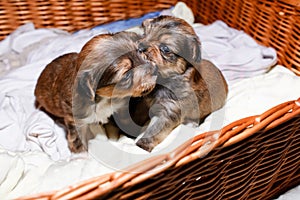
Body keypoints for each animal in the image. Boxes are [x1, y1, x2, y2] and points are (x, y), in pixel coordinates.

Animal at [125, 16, 229, 152]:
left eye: (165, 49)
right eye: (144, 34)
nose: (140, 47)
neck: (163, 79)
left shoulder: (169, 110)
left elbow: (155, 129)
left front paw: (143, 145)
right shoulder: (143, 103)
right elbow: (137, 115)